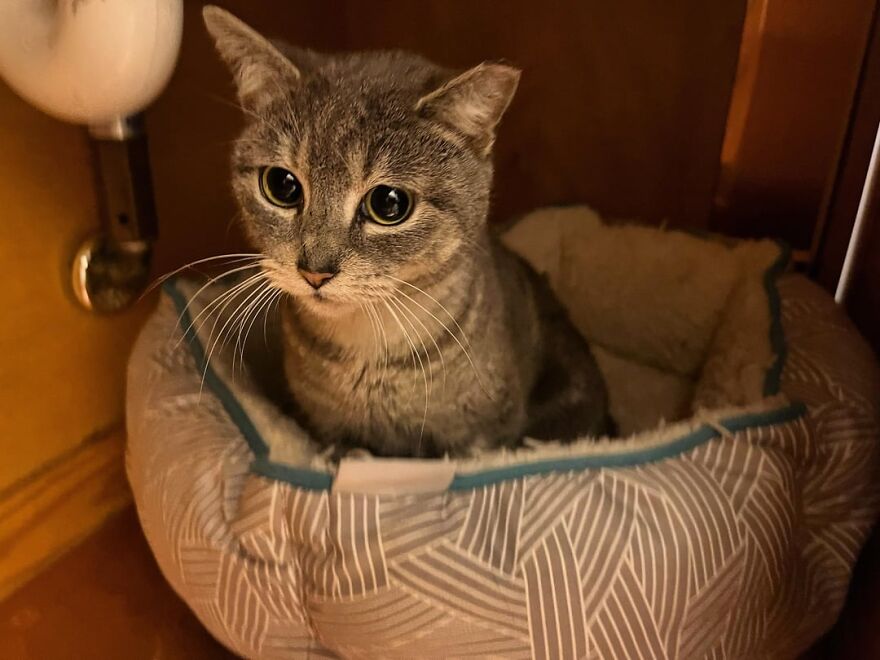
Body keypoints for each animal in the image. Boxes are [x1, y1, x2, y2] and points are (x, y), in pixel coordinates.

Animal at [204, 6, 612, 458]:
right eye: (282, 185)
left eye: (388, 203)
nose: (314, 271)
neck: (370, 355)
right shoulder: (329, 428)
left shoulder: (479, 437)